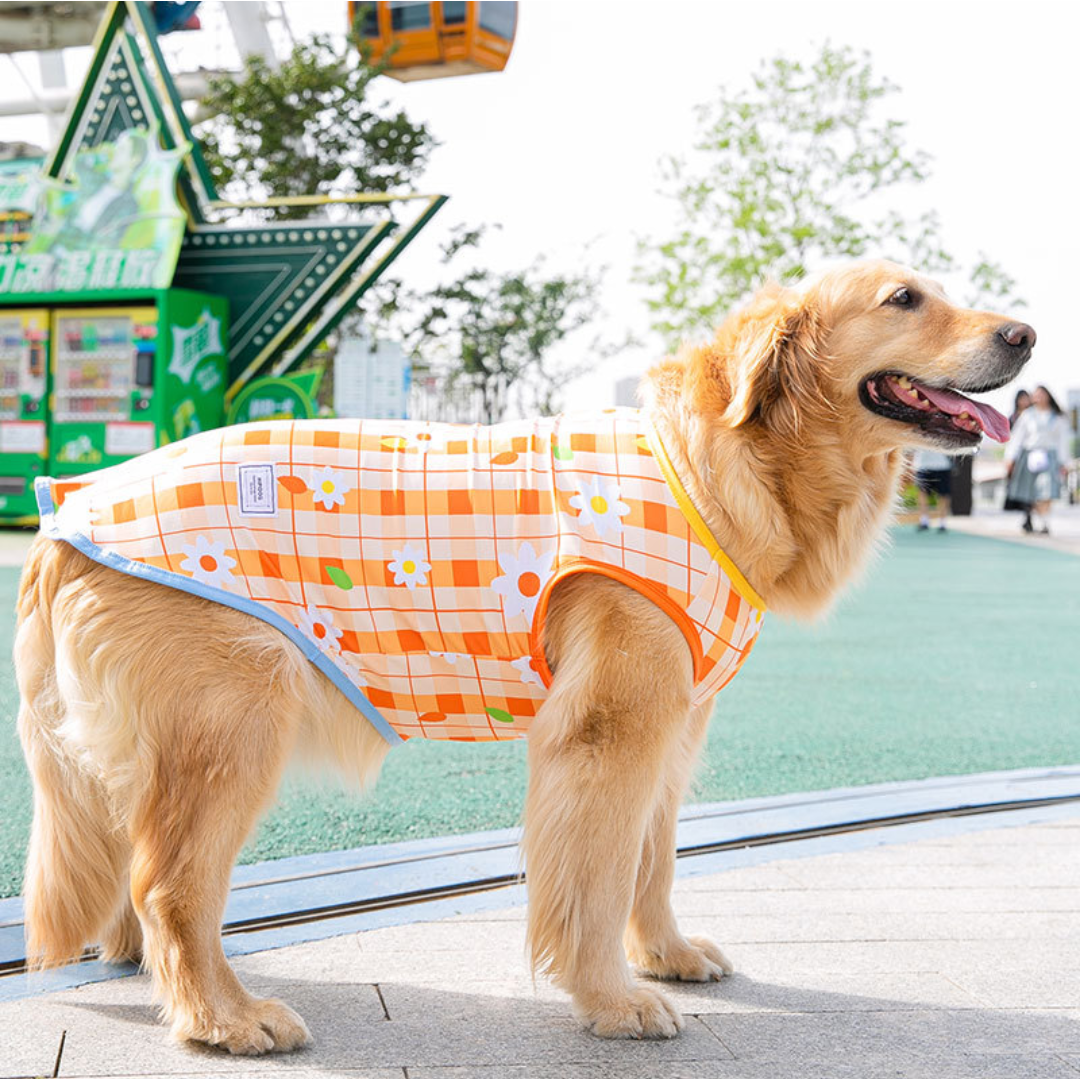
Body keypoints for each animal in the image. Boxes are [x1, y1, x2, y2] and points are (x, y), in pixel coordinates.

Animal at [14, 261, 1028, 1054]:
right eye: (904, 298)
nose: (1027, 333)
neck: (712, 466)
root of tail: (69, 507)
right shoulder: (608, 733)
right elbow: (597, 877)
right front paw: (613, 999)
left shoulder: (672, 730)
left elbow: (654, 861)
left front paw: (667, 956)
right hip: (236, 725)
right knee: (169, 885)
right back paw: (222, 1017)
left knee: (133, 865)